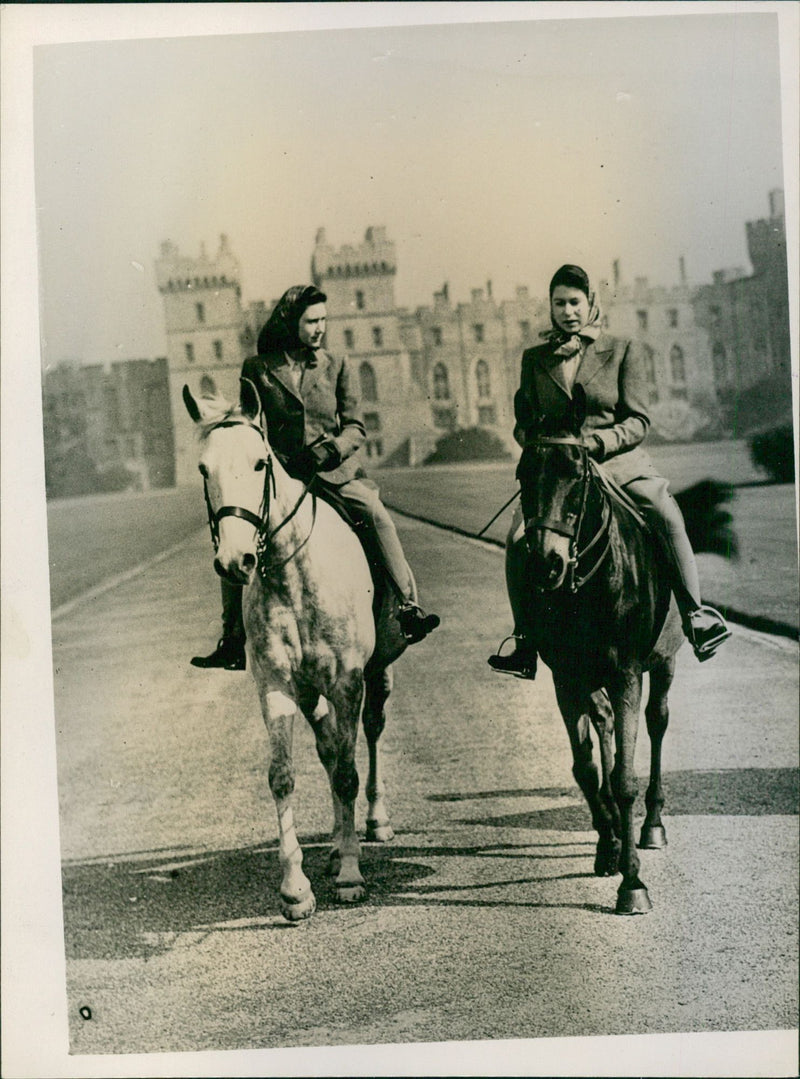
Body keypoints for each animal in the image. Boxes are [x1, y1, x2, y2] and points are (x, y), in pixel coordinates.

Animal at [184, 377, 408, 919]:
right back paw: (335, 845)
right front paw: (296, 888)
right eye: (203, 469)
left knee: (369, 735)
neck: (294, 574)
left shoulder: (348, 680)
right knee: (327, 746)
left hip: (379, 673)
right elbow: (284, 775)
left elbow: (348, 771)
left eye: (260, 463)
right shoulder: (277, 685)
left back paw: (373, 822)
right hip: (308, 691)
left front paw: (350, 875)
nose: (235, 560)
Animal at [505, 386, 712, 910]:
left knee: (656, 724)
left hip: (664, 663)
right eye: (523, 472)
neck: (587, 582)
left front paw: (633, 882)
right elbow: (587, 767)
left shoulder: (626, 673)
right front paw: (609, 845)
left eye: (577, 470)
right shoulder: (566, 676)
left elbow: (623, 778)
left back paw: (651, 825)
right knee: (605, 730)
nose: (545, 563)